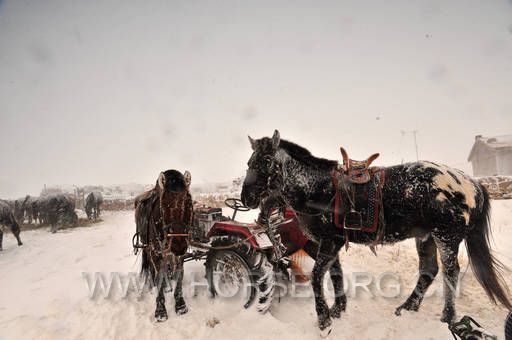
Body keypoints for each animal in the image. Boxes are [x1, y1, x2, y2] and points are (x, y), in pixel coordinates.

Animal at [135, 170, 193, 322]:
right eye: (163, 204)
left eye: (189, 202)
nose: (178, 244)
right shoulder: (155, 253)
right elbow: (159, 276)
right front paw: (160, 310)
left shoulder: (179, 255)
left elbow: (179, 274)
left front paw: (180, 304)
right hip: (149, 250)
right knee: (155, 271)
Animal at [241, 129, 512, 334]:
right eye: (249, 162)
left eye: (266, 161)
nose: (247, 198)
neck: (319, 189)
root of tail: (470, 183)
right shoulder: (332, 243)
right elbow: (335, 275)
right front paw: (338, 310)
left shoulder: (328, 242)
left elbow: (318, 277)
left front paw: (324, 319)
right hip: (425, 238)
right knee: (428, 271)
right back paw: (407, 307)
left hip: (446, 237)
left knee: (450, 273)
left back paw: (447, 318)